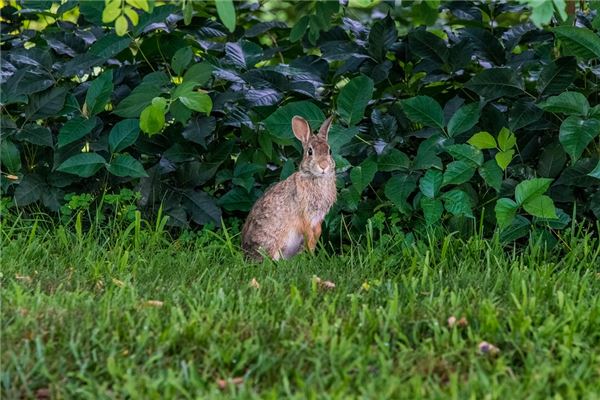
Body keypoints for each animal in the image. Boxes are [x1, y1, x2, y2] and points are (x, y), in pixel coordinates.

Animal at [243, 114, 338, 260]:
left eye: (330, 151)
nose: (323, 166)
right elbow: (308, 233)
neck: (315, 177)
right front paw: (311, 255)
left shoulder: (318, 218)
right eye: (310, 151)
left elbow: (317, 233)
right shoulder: (304, 215)